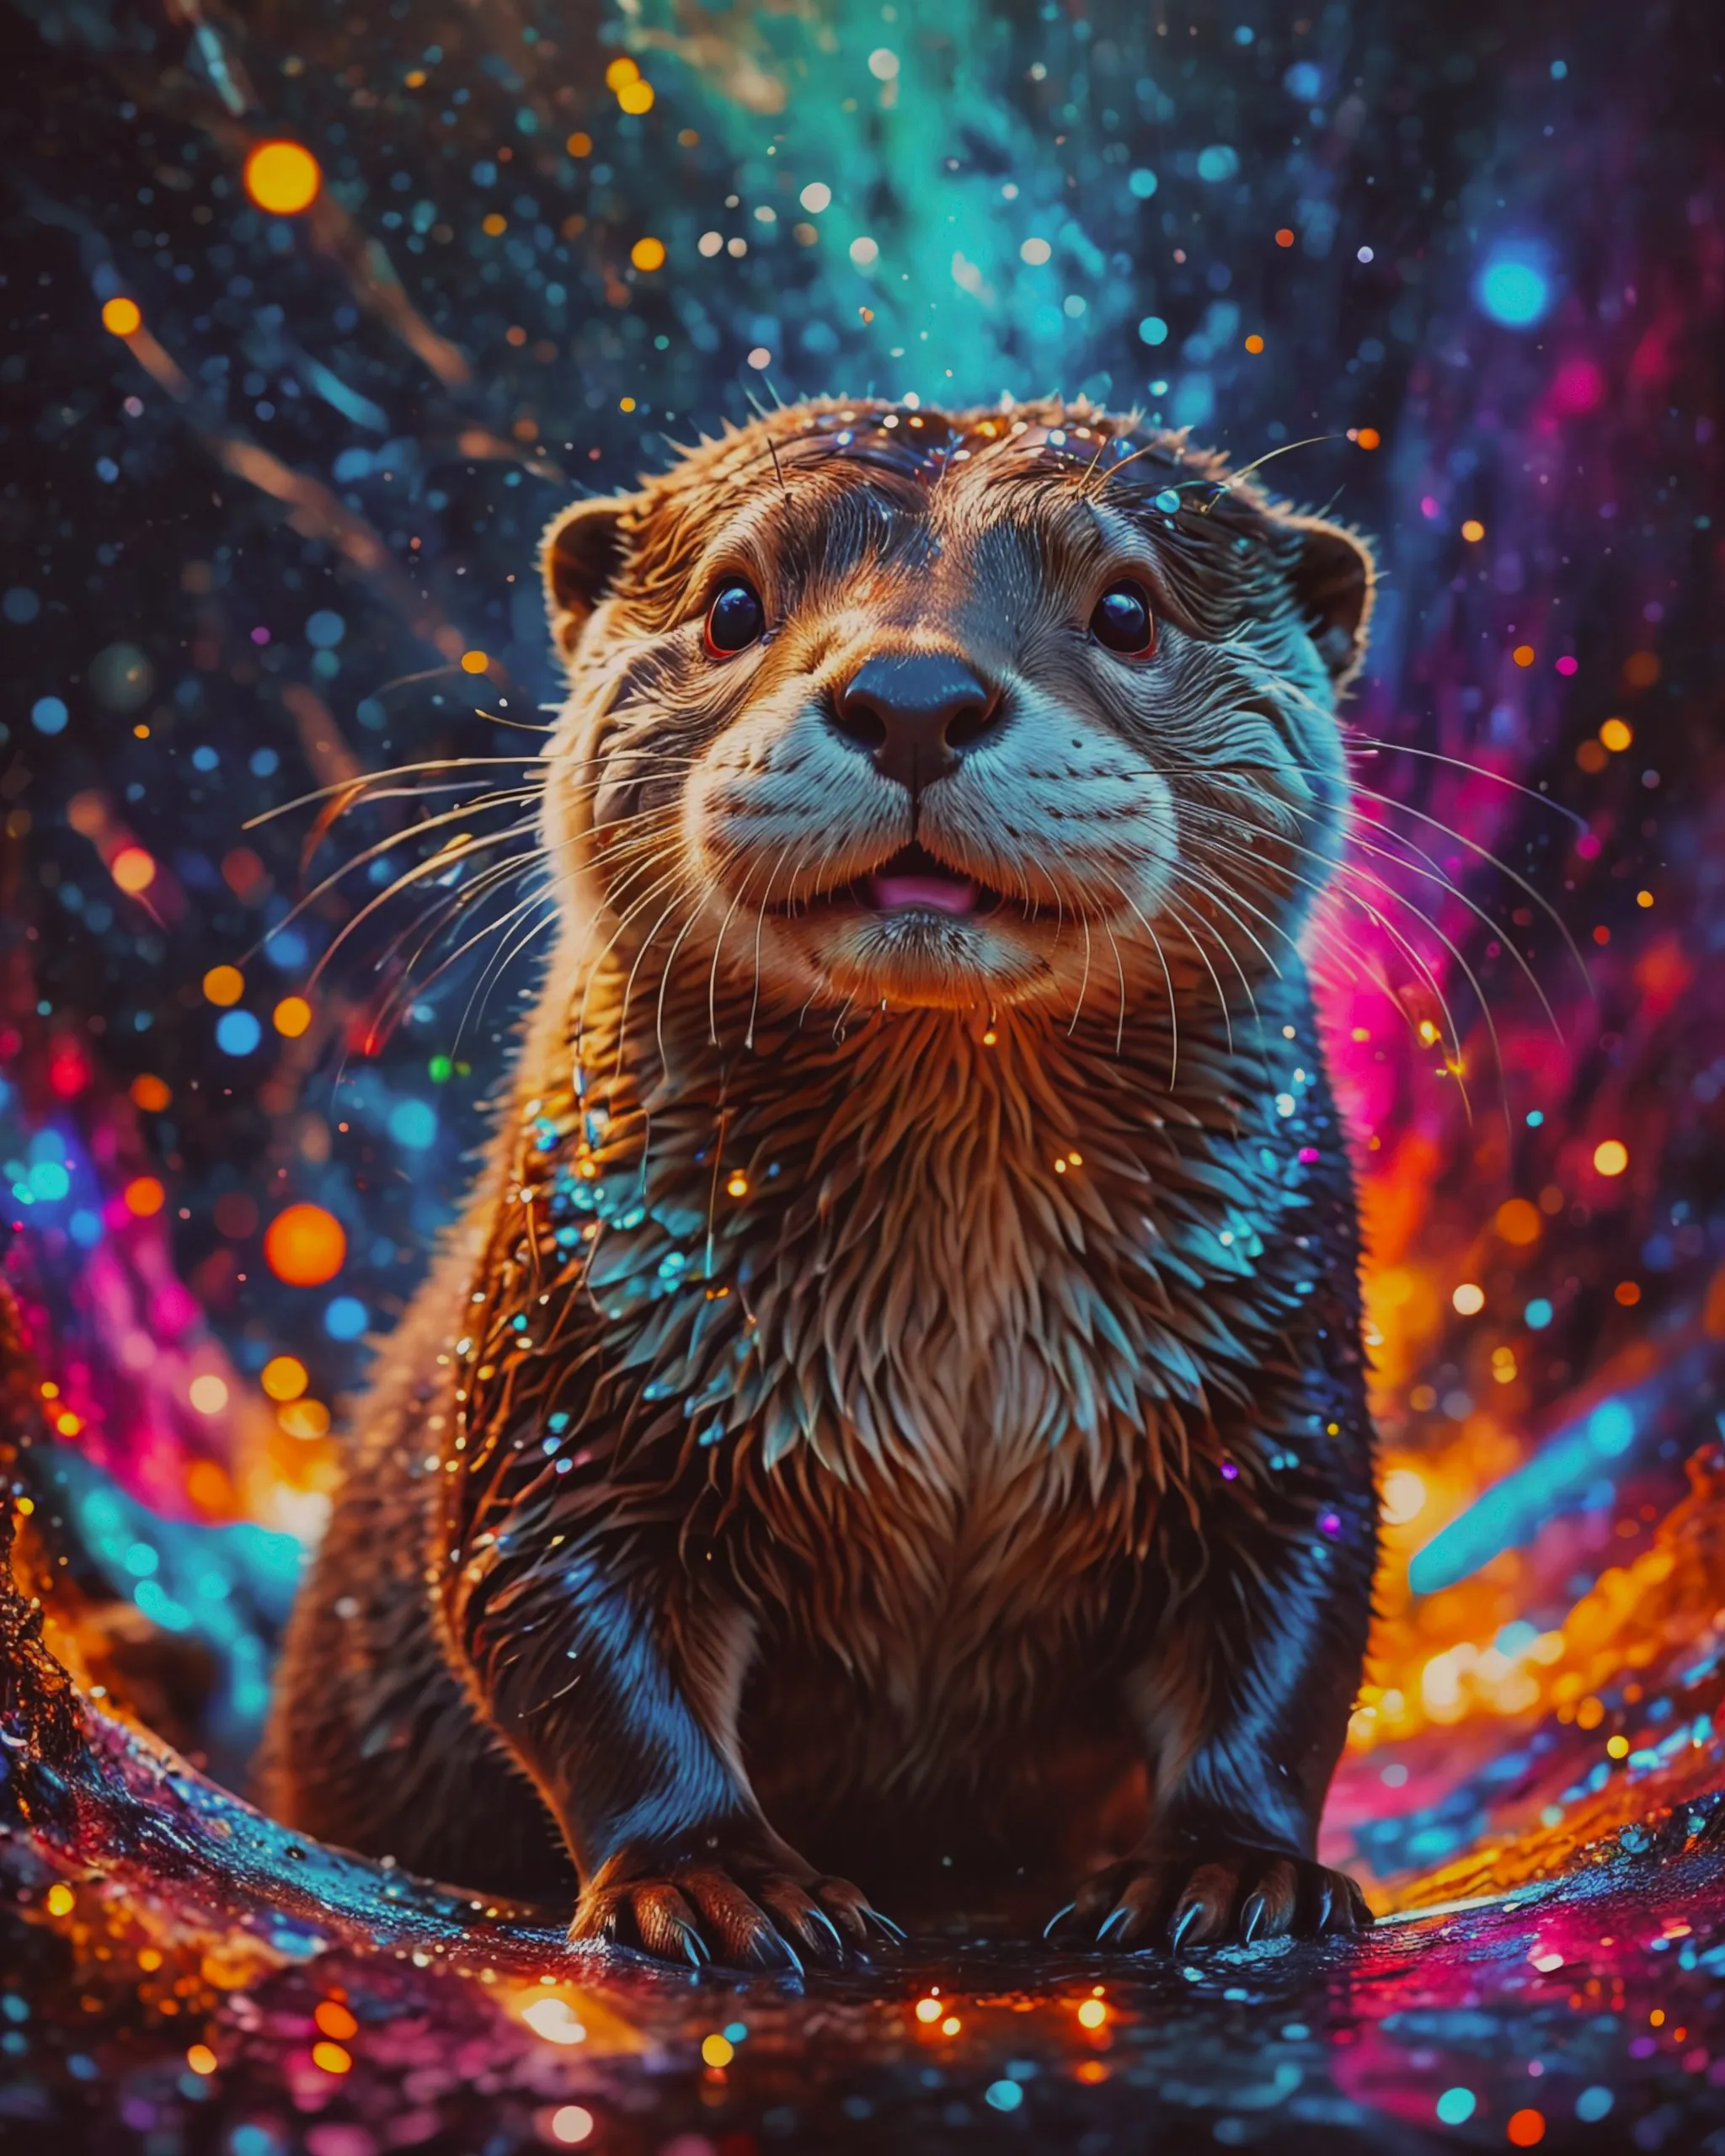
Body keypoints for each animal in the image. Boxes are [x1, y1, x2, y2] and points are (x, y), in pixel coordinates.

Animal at [263, 397, 1379, 1969]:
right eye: (732, 604)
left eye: (1127, 609)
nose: (911, 692)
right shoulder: (565, 1373)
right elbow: (558, 1619)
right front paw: (718, 1883)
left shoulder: (1282, 1395)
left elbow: (1294, 1630)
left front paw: (1225, 1872)